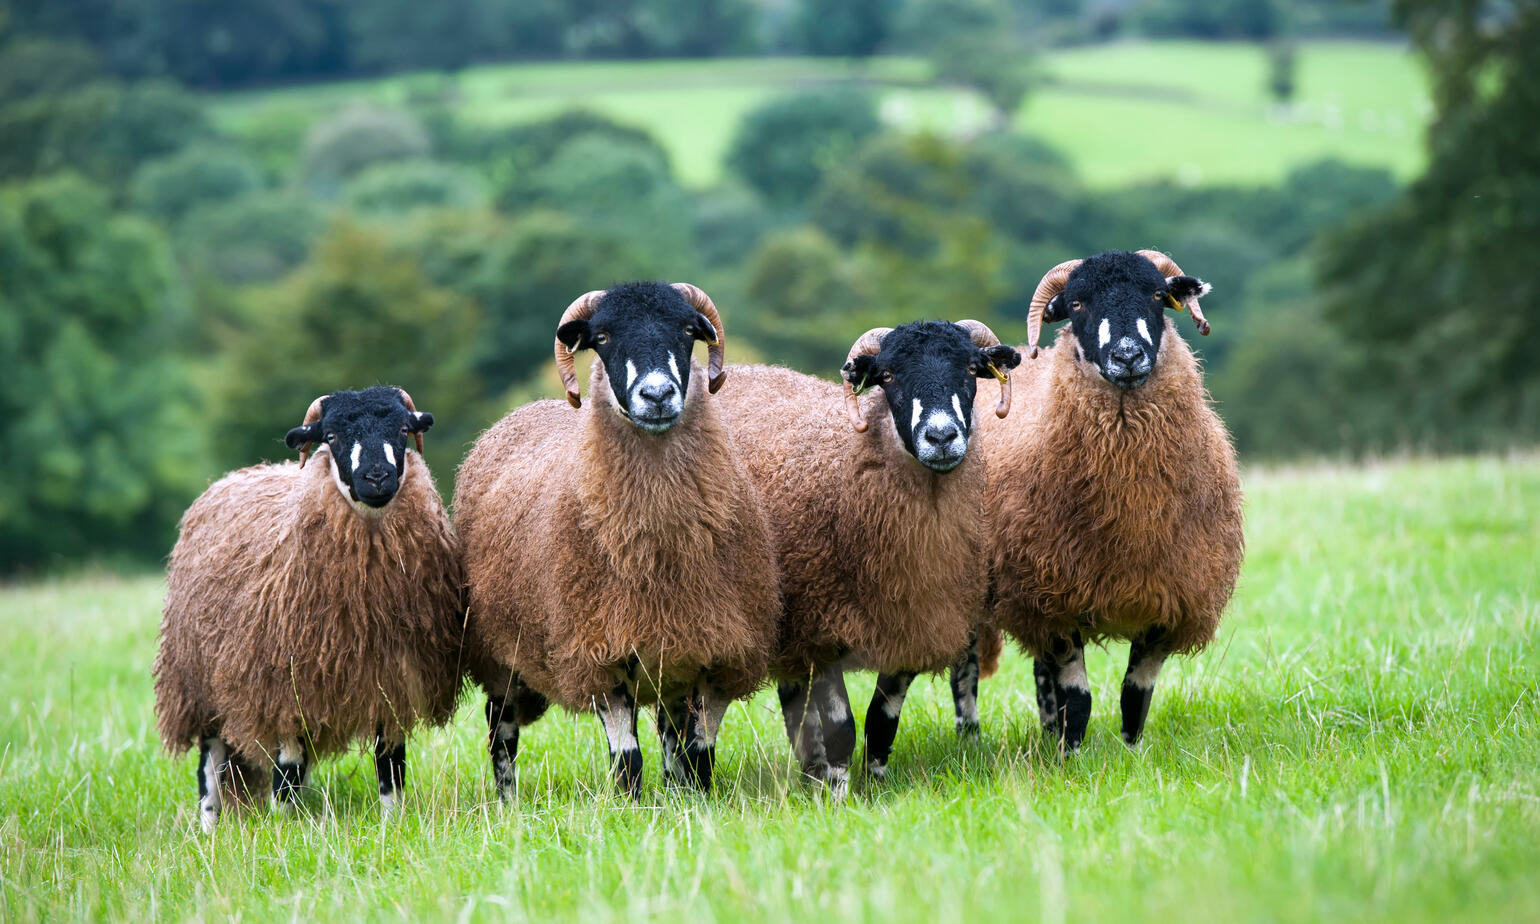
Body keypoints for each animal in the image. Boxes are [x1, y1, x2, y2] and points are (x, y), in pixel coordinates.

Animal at [155, 386, 468, 831]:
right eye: (332, 436)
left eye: (403, 430)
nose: (377, 478)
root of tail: (235, 475)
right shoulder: (283, 690)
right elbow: (285, 773)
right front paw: (285, 830)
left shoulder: (392, 680)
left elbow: (390, 765)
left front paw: (392, 823)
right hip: (198, 685)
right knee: (211, 766)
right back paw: (209, 828)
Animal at [449, 281, 776, 800]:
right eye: (602, 337)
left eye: (688, 330)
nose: (657, 394)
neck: (660, 551)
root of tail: (522, 412)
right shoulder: (596, 655)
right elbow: (627, 758)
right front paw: (631, 808)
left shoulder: (716, 655)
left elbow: (697, 755)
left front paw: (693, 804)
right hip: (501, 656)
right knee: (501, 730)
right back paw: (508, 803)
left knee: (671, 738)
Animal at [711, 318, 1022, 794]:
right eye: (888, 376)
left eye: (972, 369)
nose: (942, 437)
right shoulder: (820, 627)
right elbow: (841, 726)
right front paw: (840, 794)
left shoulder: (911, 626)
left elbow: (881, 720)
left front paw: (874, 782)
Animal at [973, 251, 1250, 751]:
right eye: (1077, 303)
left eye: (1158, 295)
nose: (1127, 356)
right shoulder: (1055, 599)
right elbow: (1079, 698)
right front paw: (1073, 757)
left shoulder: (1171, 600)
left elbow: (1135, 693)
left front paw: (1131, 750)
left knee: (1042, 676)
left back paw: (1048, 733)